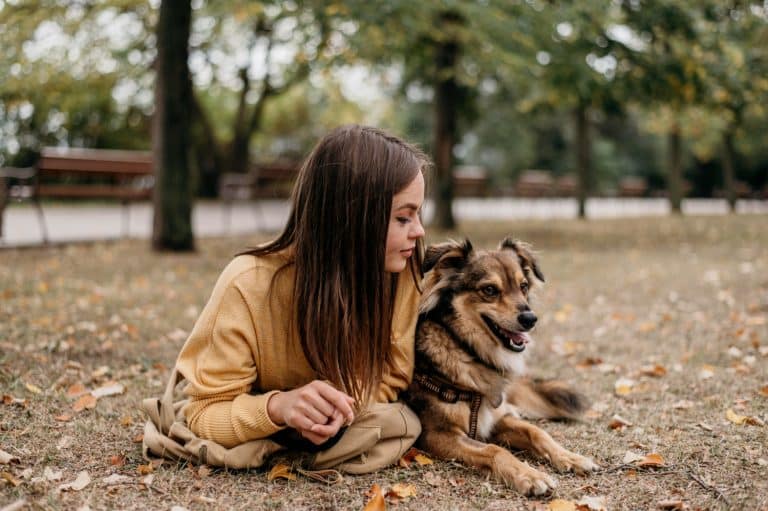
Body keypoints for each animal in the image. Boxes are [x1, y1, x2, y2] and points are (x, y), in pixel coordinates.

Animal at [404, 239, 596, 496]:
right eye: (489, 290)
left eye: (523, 286)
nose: (530, 319)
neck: (469, 352)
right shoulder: (437, 433)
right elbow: (494, 449)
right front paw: (530, 475)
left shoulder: (494, 418)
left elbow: (536, 432)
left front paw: (569, 457)